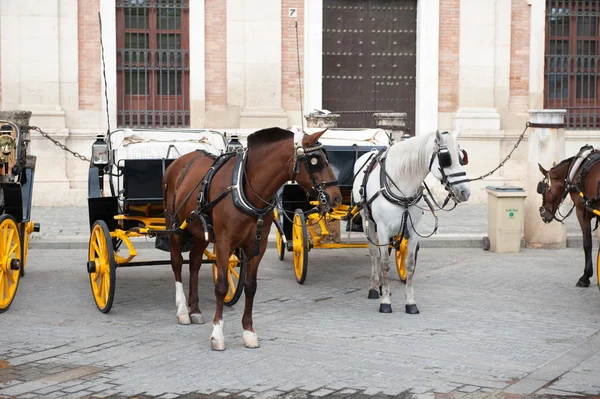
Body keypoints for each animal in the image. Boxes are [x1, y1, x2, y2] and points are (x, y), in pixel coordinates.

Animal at [163, 127, 342, 350]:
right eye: (315, 161)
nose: (336, 197)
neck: (245, 188)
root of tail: (179, 162)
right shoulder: (224, 243)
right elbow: (221, 286)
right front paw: (217, 334)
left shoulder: (258, 245)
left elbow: (250, 286)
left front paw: (249, 331)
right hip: (174, 227)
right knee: (177, 263)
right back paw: (182, 311)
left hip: (199, 231)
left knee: (194, 263)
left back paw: (194, 309)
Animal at [352, 130, 474, 314]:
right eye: (445, 158)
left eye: (462, 158)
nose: (465, 192)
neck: (402, 185)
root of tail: (370, 151)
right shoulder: (382, 228)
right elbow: (385, 263)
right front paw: (385, 302)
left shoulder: (414, 228)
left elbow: (409, 264)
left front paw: (410, 301)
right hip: (368, 219)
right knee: (374, 253)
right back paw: (374, 287)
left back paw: (381, 285)